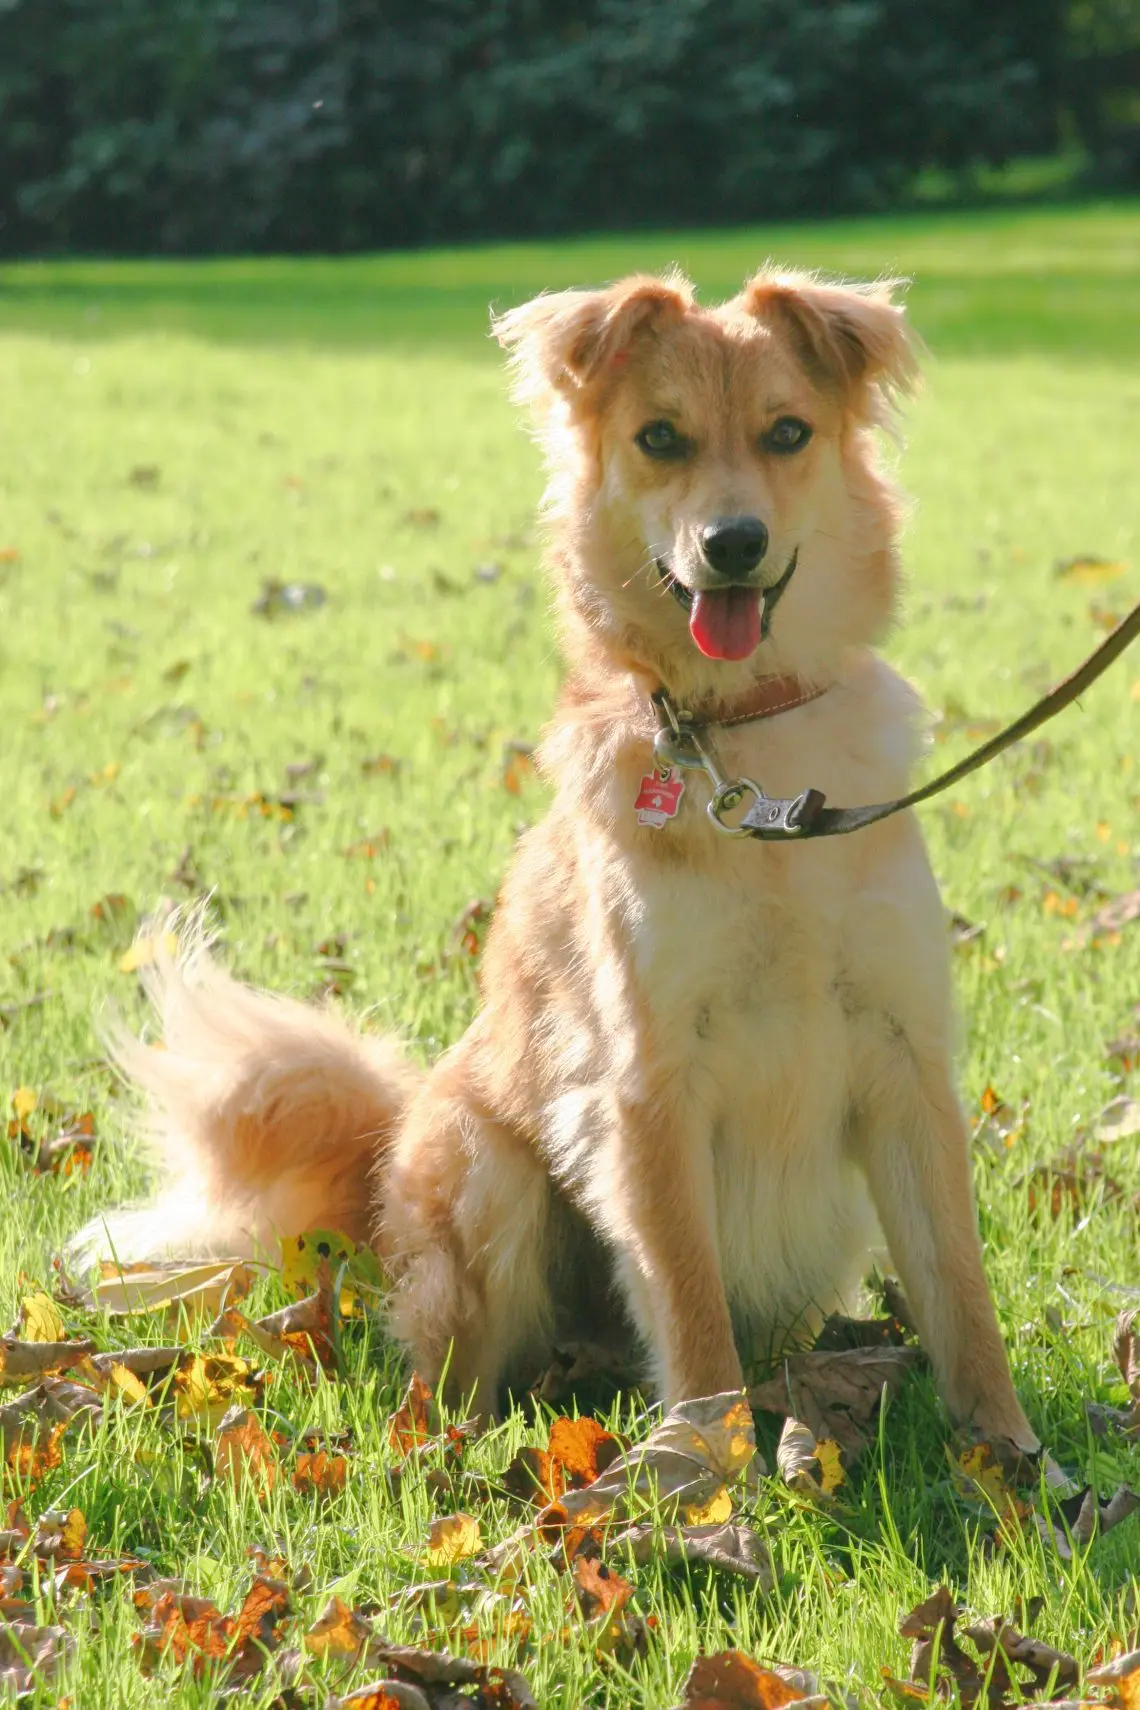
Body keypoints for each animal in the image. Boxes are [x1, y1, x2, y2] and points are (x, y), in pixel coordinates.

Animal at [75, 266, 1045, 1443]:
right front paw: (707, 1464)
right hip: (485, 1166)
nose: (732, 541)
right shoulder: (646, 1085)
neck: (749, 753)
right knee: (449, 1377)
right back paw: (464, 1444)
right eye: (661, 438)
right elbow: (688, 1299)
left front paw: (1012, 1457)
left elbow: (958, 1288)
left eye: (788, 432)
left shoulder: (907, 1060)